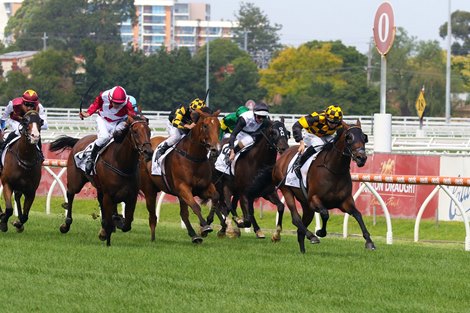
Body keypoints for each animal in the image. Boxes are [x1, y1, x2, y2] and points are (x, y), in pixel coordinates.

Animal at [49, 113, 153, 245]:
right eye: (135, 131)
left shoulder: (131, 196)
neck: (121, 163)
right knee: (70, 195)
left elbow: (127, 224)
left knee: (99, 200)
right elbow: (113, 217)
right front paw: (114, 222)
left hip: (99, 186)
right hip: (75, 182)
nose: (148, 152)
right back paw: (66, 224)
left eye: (149, 131)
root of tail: (79, 140)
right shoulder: (109, 195)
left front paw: (115, 222)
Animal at [139, 108, 221, 243]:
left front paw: (207, 222)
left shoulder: (203, 187)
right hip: (149, 189)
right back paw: (152, 237)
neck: (193, 157)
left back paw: (194, 235)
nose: (216, 149)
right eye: (205, 126)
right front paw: (205, 227)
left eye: (219, 126)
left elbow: (215, 197)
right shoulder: (183, 187)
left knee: (183, 214)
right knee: (152, 214)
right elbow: (195, 206)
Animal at [272, 119, 374, 254]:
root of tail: (283, 155)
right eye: (349, 138)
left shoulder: (345, 202)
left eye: (364, 137)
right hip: (286, 189)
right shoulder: (314, 199)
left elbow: (358, 214)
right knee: (296, 218)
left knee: (301, 228)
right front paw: (320, 232)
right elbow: (325, 214)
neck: (334, 170)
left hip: (306, 205)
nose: (361, 158)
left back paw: (303, 250)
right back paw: (311, 236)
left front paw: (369, 242)